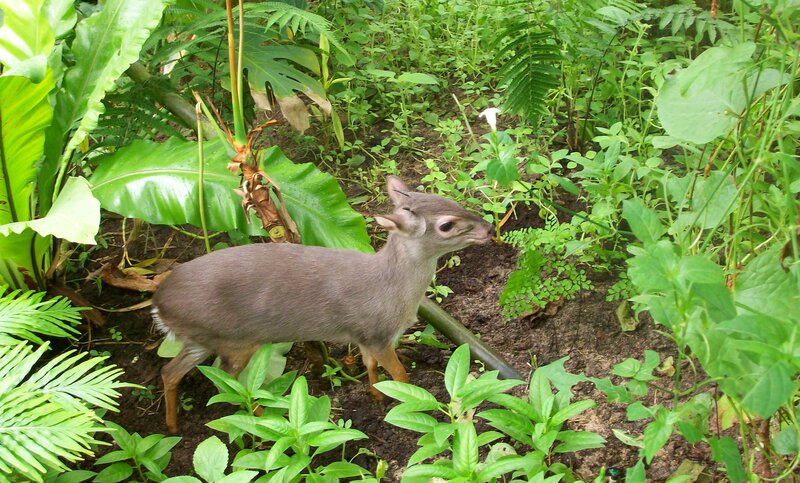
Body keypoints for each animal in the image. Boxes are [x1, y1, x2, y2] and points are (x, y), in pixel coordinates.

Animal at [151, 176, 494, 433]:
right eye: (446, 225)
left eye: (448, 200)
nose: (488, 228)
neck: (390, 289)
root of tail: (158, 302)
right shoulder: (379, 333)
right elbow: (400, 376)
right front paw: (409, 405)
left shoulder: (363, 336)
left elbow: (370, 367)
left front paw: (376, 397)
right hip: (235, 342)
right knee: (226, 386)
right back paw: (263, 418)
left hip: (201, 340)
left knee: (169, 371)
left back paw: (172, 426)